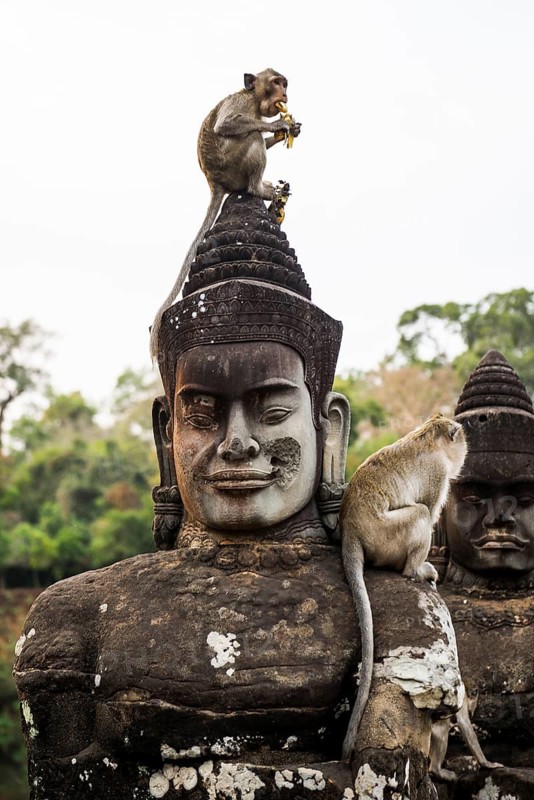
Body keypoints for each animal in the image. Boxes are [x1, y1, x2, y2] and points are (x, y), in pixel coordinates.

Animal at [149, 69, 301, 360]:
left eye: (284, 83)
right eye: (276, 83)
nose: (285, 93)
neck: (254, 99)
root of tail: (215, 182)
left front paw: (288, 130)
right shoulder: (242, 104)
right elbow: (228, 125)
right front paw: (278, 124)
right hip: (234, 165)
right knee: (251, 137)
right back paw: (259, 189)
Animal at [340, 414, 468, 760]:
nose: (464, 451)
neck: (428, 436)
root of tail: (350, 529)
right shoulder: (438, 473)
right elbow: (430, 509)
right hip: (388, 536)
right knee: (420, 513)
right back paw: (415, 571)